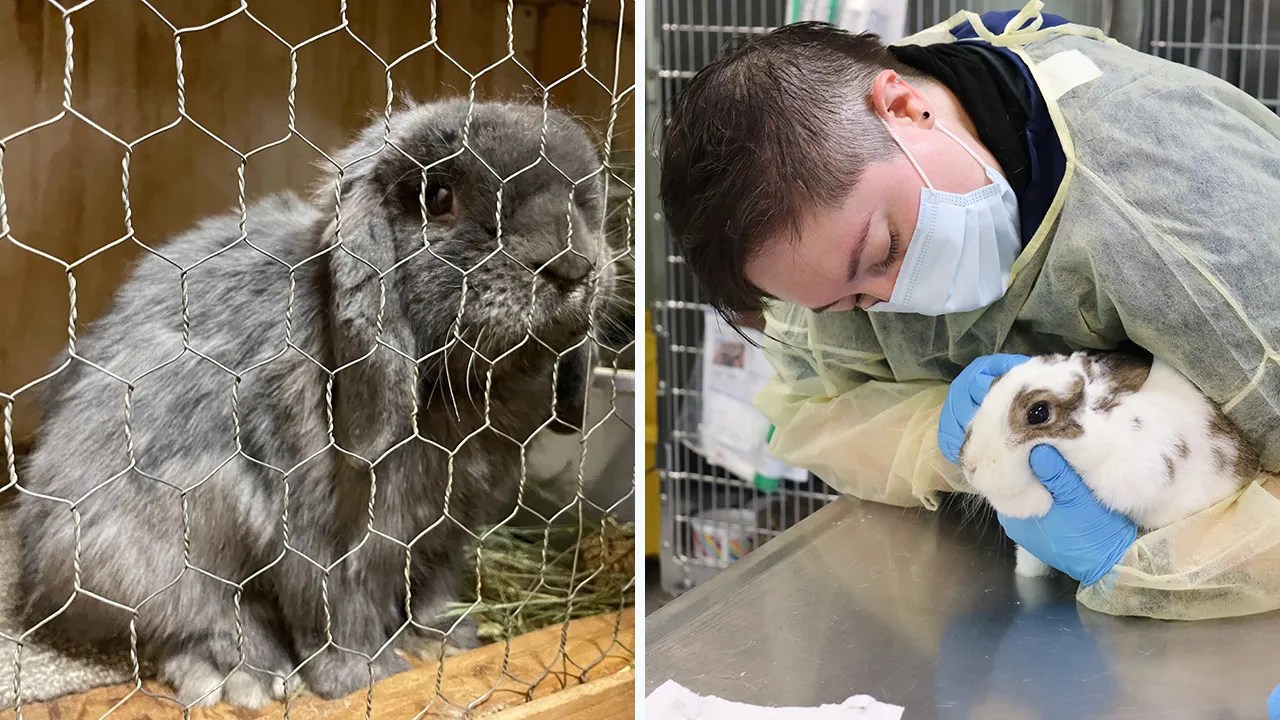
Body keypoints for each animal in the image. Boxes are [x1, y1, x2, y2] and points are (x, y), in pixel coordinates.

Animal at [12, 98, 615, 707]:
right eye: (438, 197)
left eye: (583, 198)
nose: (572, 265)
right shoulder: (328, 534)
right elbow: (337, 610)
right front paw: (367, 677)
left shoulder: (448, 533)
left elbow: (427, 592)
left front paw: (444, 640)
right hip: (145, 540)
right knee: (193, 615)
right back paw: (246, 680)